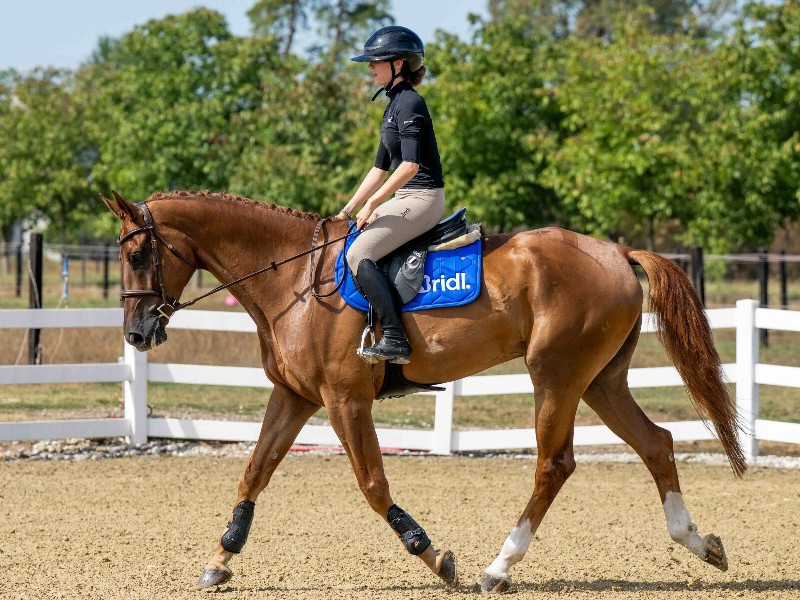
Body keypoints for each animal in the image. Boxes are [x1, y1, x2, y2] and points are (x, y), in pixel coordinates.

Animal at [101, 189, 746, 593]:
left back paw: (497, 568)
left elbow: (372, 485)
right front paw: (219, 559)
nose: (137, 333)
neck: (293, 280)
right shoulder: (294, 397)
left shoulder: (344, 402)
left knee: (554, 464)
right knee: (657, 443)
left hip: (557, 377)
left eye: (136, 253)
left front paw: (435, 557)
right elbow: (253, 472)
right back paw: (700, 543)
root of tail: (616, 250)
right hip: (601, 382)